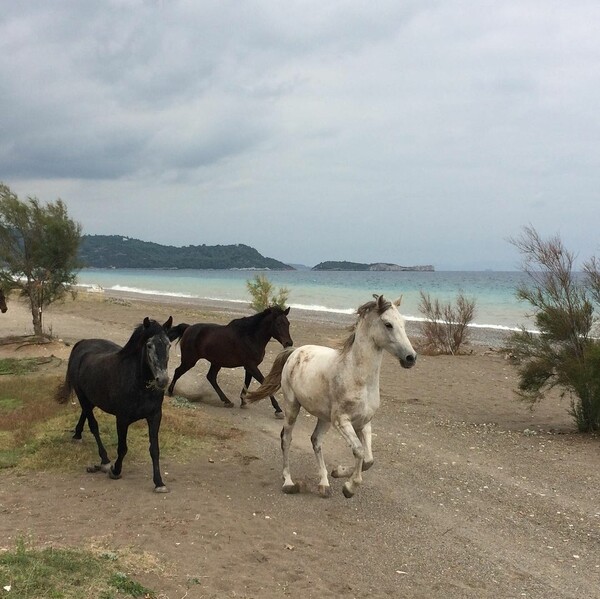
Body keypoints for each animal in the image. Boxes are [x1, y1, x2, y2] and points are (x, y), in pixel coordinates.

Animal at [55, 318, 172, 492]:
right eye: (149, 345)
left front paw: (159, 483)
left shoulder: (155, 416)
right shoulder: (122, 419)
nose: (163, 380)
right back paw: (104, 460)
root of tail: (82, 343)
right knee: (93, 425)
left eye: (168, 344)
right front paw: (115, 470)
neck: (138, 385)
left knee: (85, 413)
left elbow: (154, 449)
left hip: (92, 398)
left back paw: (77, 435)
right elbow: (122, 448)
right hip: (82, 395)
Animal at [246, 294, 414, 496]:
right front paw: (349, 487)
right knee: (286, 439)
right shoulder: (342, 421)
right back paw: (288, 482)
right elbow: (359, 451)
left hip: (324, 417)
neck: (358, 377)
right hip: (292, 406)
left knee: (316, 440)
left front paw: (338, 472)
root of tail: (294, 351)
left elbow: (368, 460)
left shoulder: (364, 423)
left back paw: (324, 483)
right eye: (388, 324)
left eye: (403, 323)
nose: (411, 358)